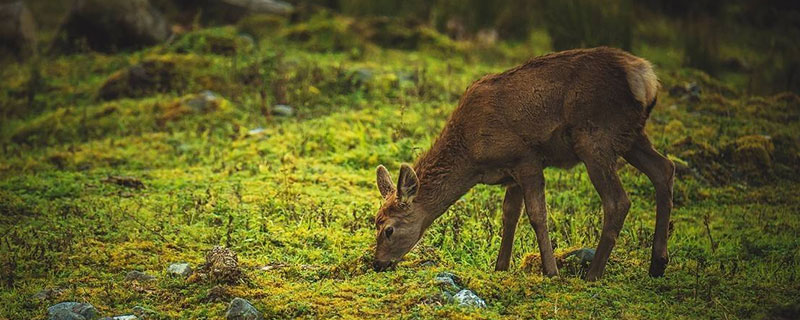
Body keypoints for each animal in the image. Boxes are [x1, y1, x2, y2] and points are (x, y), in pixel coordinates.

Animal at [372, 47, 672, 280]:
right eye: (374, 222)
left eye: (389, 229)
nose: (377, 263)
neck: (473, 157)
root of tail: (646, 77)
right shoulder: (511, 170)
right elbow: (509, 216)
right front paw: (500, 267)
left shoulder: (527, 157)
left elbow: (537, 215)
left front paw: (551, 272)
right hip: (630, 135)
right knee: (664, 169)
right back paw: (658, 264)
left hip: (595, 137)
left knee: (618, 201)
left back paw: (593, 274)